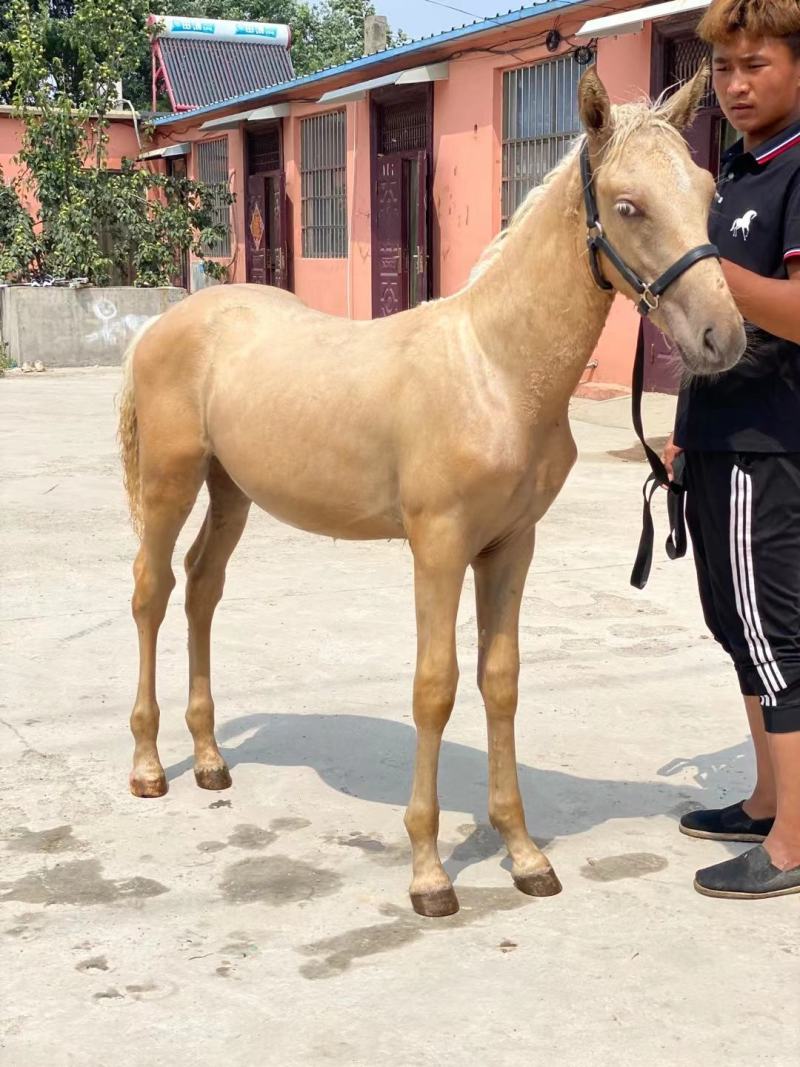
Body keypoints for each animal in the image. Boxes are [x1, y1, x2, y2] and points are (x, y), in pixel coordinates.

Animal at [118, 68, 745, 918]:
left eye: (708, 190)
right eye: (627, 205)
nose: (724, 336)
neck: (497, 370)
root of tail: (163, 325)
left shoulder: (511, 545)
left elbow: (500, 681)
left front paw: (523, 854)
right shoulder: (439, 545)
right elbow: (435, 687)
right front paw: (429, 871)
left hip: (232, 489)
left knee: (201, 587)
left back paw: (212, 756)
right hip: (171, 479)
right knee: (151, 590)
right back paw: (150, 765)